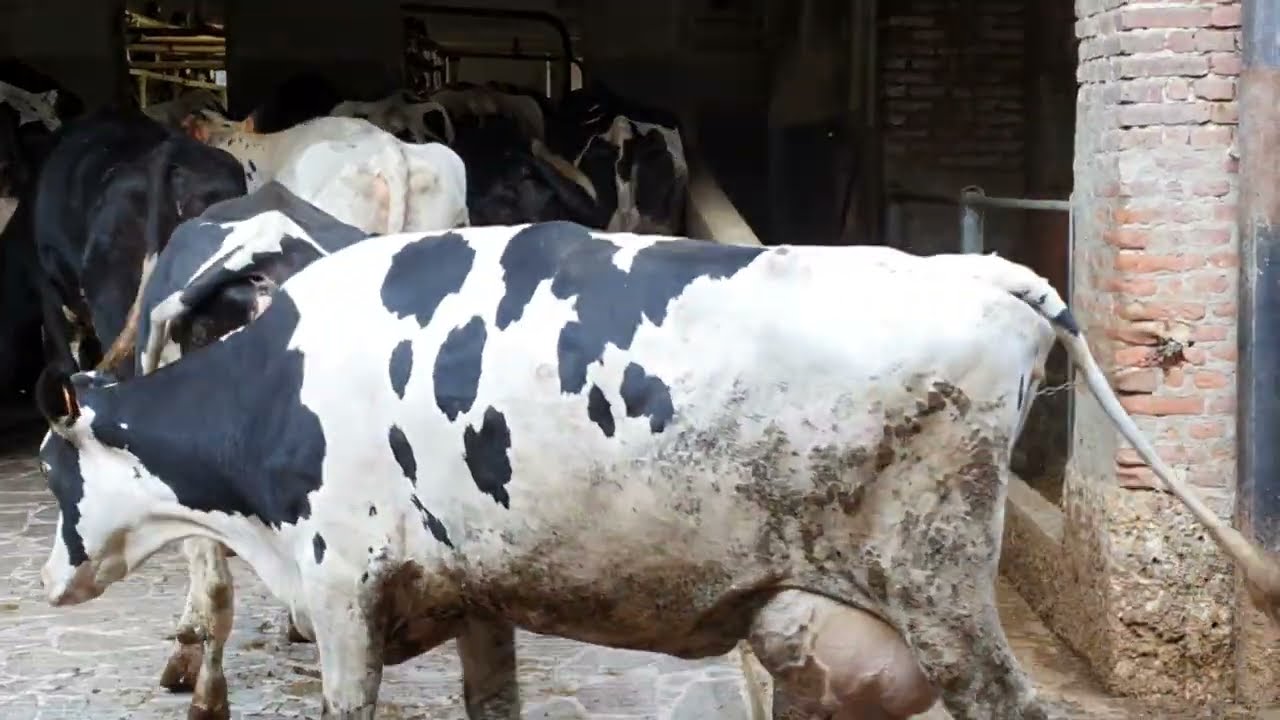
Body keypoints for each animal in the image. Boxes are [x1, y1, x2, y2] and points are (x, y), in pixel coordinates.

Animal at [32, 220, 1280, 720]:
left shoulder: (342, 586)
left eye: (52, 470)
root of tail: (975, 269)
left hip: (941, 597)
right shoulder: (475, 589)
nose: (47, 580)